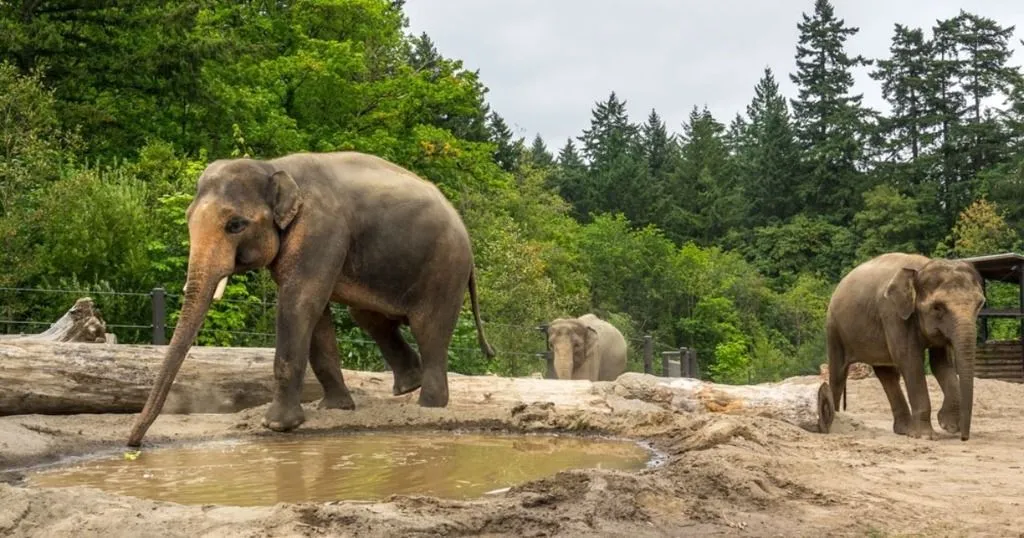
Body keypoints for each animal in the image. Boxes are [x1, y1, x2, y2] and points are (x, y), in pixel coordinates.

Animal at [125, 149, 493, 444]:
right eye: (188, 219)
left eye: (235, 225)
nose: (135, 443)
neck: (272, 166)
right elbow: (316, 314)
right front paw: (334, 409)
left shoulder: (320, 230)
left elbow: (299, 302)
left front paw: (277, 426)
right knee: (370, 318)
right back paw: (407, 388)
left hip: (444, 270)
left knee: (429, 329)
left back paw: (428, 406)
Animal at [823, 252, 983, 440]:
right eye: (938, 307)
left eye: (979, 304)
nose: (964, 437)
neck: (921, 268)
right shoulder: (893, 314)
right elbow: (909, 360)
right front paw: (927, 436)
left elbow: (940, 363)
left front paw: (947, 425)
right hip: (834, 328)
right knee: (838, 374)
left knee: (887, 375)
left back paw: (905, 430)